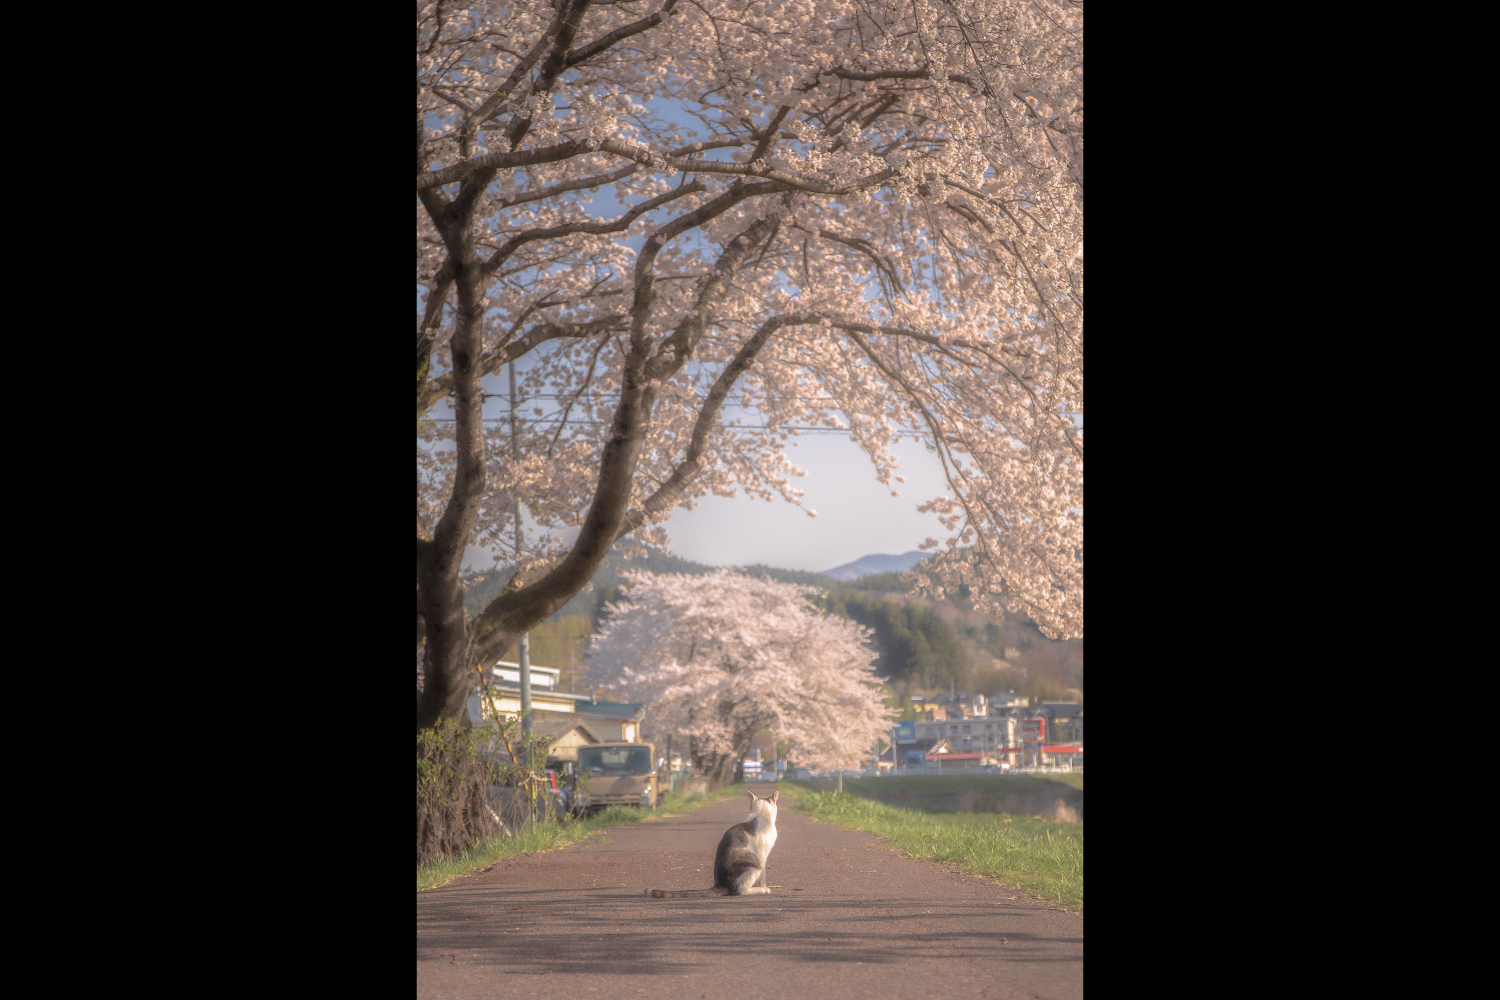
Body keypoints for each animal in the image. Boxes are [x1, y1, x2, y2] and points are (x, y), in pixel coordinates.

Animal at [645, 791, 786, 899]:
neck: (758, 816)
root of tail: (719, 884)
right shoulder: (763, 855)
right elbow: (763, 875)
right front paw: (763, 886)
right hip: (752, 864)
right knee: (740, 891)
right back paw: (760, 890)